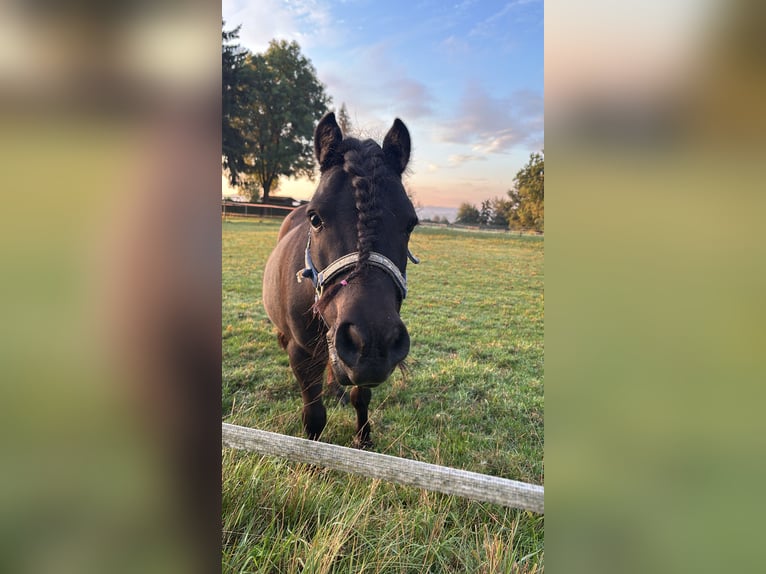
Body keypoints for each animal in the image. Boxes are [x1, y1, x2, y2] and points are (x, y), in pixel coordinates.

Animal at [262, 112, 419, 448]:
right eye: (315, 218)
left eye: (411, 224)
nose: (372, 340)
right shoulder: (302, 354)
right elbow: (314, 414)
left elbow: (361, 397)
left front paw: (363, 439)